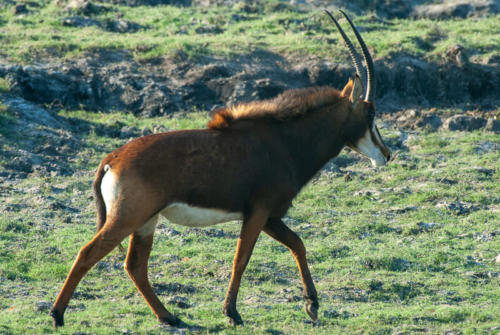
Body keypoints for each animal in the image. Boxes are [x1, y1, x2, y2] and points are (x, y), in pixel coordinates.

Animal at [51, 9, 390, 328]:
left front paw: (312, 306)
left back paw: (168, 316)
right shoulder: (259, 213)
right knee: (88, 253)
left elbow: (298, 244)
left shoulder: (269, 216)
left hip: (146, 221)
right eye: (370, 113)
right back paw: (57, 315)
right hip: (127, 217)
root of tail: (112, 159)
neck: (285, 141)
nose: (386, 154)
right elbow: (242, 258)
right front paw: (233, 313)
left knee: (135, 265)